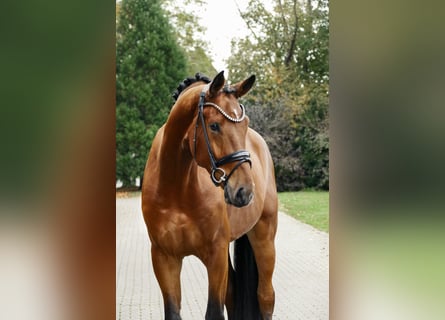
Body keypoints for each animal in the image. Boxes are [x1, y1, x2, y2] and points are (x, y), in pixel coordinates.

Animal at [140, 71, 276, 318]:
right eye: (214, 126)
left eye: (245, 125)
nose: (244, 191)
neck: (177, 188)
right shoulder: (164, 258)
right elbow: (173, 312)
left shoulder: (216, 256)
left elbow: (214, 311)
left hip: (264, 236)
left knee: (266, 296)